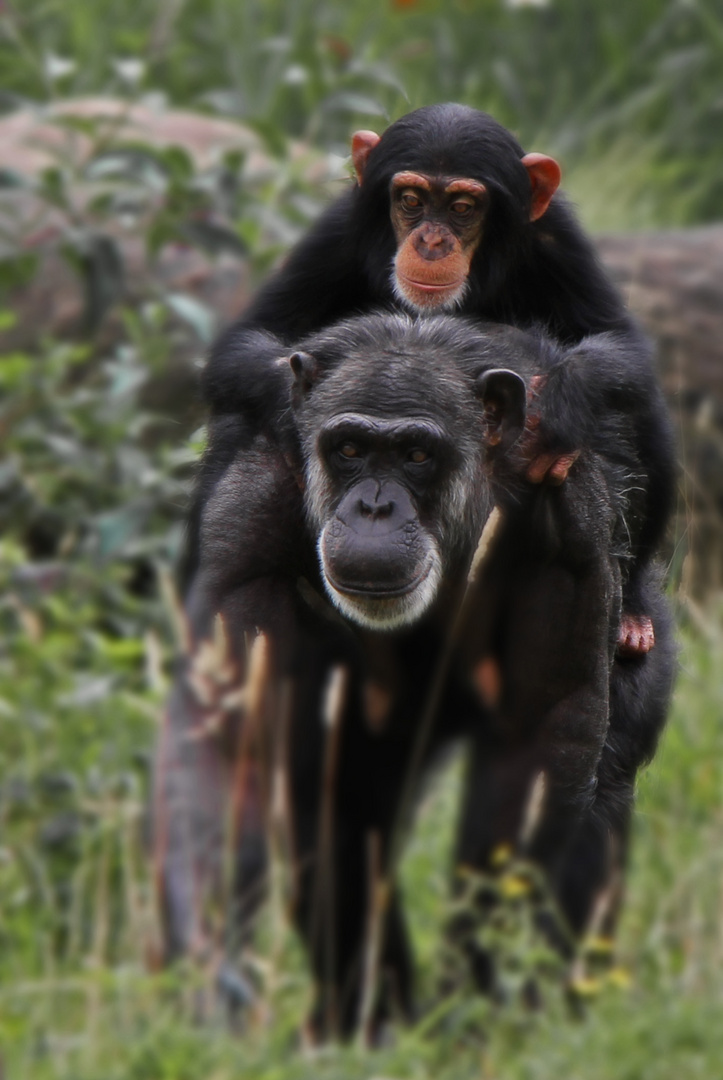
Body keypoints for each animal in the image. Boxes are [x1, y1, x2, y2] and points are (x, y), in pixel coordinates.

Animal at [155, 313, 674, 1036]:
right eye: (348, 448)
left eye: (415, 455)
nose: (373, 507)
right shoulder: (253, 508)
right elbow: (230, 742)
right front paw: (213, 981)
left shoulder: (566, 520)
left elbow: (541, 737)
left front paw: (473, 997)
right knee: (335, 803)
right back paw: (364, 1020)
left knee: (606, 774)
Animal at [194, 103, 674, 656]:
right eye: (410, 200)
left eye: (463, 206)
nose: (430, 240)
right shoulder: (336, 232)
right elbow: (245, 341)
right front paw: (293, 410)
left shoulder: (559, 239)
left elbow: (621, 345)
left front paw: (558, 406)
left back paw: (633, 613)